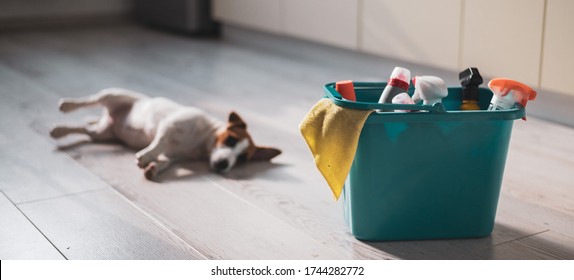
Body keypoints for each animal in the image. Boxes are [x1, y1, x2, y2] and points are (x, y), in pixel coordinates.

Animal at [50, 87, 282, 179]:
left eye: (242, 159)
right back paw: (68, 105)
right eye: (231, 140)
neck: (201, 143)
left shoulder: (174, 156)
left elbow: (165, 160)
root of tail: (109, 117)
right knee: (90, 99)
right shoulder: (168, 126)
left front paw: (153, 168)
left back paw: (60, 131)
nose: (224, 164)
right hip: (114, 94)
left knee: (84, 130)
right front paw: (146, 156)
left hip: (102, 133)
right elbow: (159, 143)